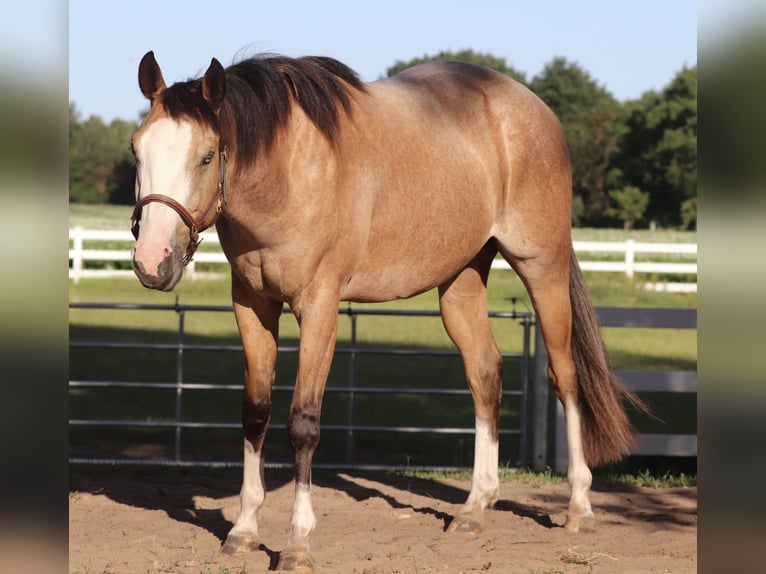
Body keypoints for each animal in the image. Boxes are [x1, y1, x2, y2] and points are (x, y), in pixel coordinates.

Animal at [129, 50, 641, 572]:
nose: (152, 261)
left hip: (542, 267)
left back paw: (579, 506)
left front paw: (297, 543)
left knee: (565, 376)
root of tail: (534, 108)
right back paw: (475, 507)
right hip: (461, 281)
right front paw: (244, 529)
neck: (288, 173)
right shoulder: (252, 303)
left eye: (207, 155)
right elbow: (256, 412)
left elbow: (303, 423)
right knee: (485, 374)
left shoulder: (320, 307)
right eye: (136, 150)